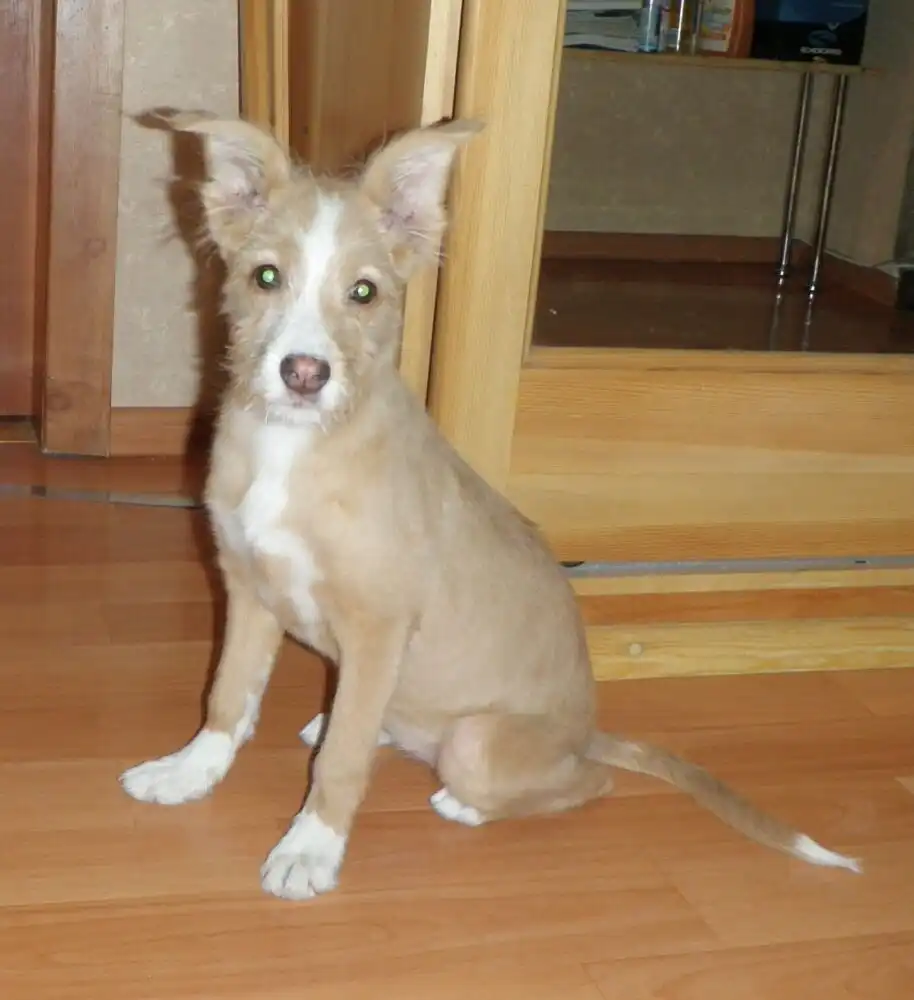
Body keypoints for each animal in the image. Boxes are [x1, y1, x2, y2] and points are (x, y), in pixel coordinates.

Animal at [120, 112, 861, 899]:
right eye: (266, 277)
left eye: (364, 293)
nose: (303, 375)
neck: (292, 448)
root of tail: (584, 734)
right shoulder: (249, 589)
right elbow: (227, 699)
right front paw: (188, 774)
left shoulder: (378, 625)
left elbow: (342, 761)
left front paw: (311, 847)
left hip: (479, 741)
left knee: (583, 783)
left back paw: (463, 800)